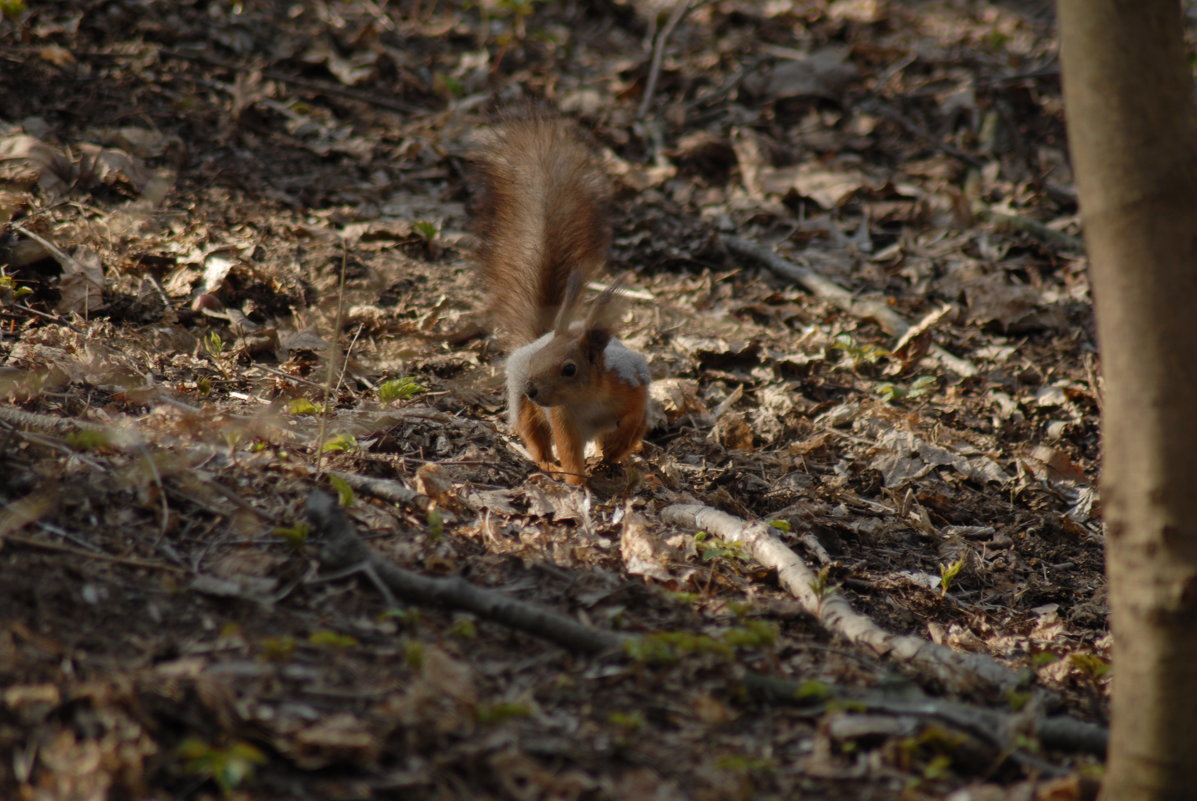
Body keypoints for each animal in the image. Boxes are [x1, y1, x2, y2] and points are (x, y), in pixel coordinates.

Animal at [469, 115, 655, 483]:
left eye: (570, 369)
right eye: (537, 359)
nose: (532, 389)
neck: (590, 399)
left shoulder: (631, 391)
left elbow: (632, 418)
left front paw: (615, 448)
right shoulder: (564, 418)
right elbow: (569, 450)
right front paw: (576, 482)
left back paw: (615, 455)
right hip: (528, 412)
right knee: (536, 439)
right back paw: (547, 465)